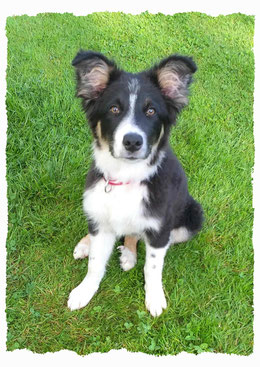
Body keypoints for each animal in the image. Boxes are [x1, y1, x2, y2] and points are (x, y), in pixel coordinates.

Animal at [68, 50, 204, 318]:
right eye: (114, 109)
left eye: (151, 111)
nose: (132, 141)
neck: (125, 177)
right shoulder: (100, 215)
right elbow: (95, 265)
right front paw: (84, 291)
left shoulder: (160, 229)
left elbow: (152, 268)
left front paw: (155, 298)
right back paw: (86, 244)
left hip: (192, 217)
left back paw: (129, 254)